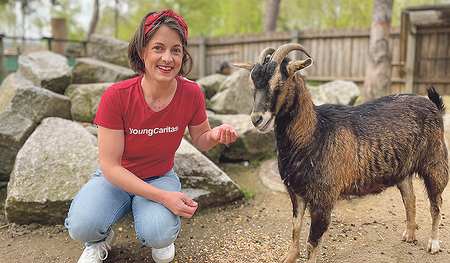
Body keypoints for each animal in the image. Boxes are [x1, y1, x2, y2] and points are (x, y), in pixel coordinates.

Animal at [236, 44, 450, 262]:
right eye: (253, 86)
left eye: (280, 83)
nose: (257, 120)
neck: (315, 132)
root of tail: (434, 106)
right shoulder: (296, 192)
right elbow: (295, 229)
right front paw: (289, 258)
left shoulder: (323, 198)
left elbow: (312, 243)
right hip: (403, 169)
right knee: (410, 198)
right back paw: (409, 234)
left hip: (436, 163)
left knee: (436, 204)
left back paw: (433, 244)